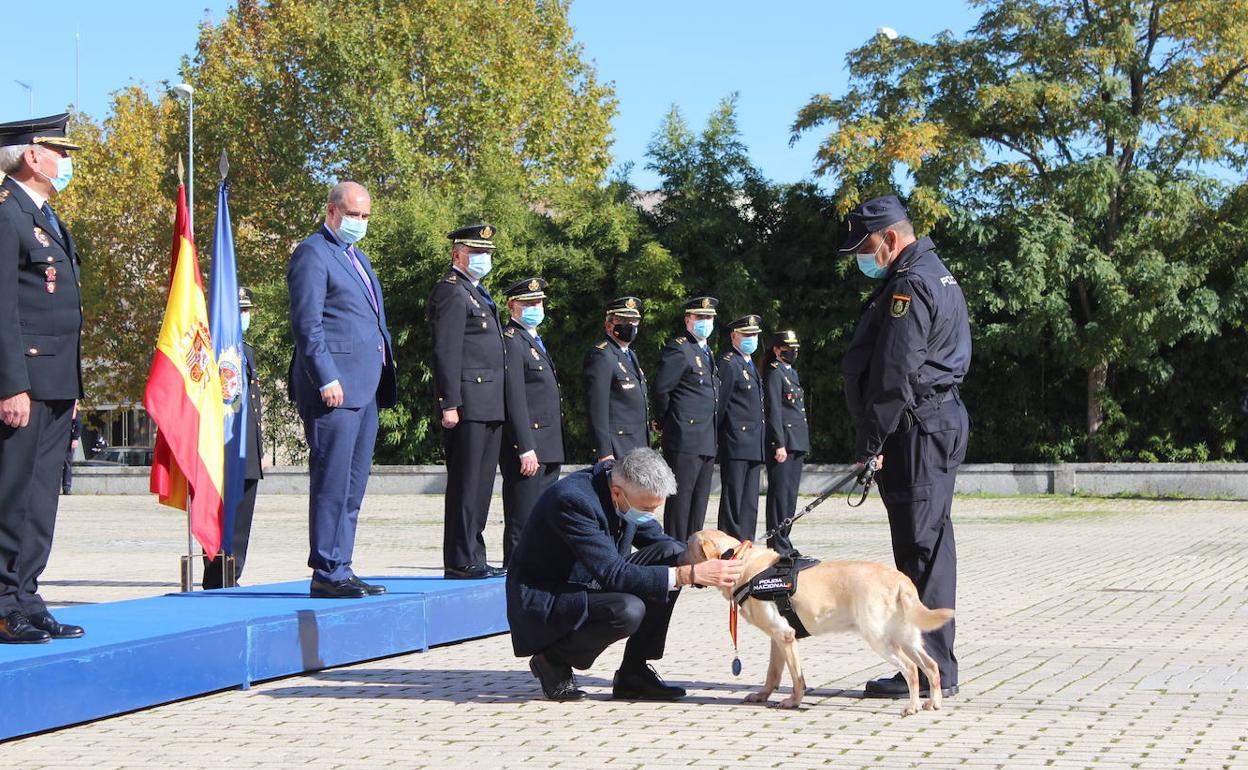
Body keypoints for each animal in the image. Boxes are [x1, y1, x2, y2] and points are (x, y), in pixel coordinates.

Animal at [688, 529, 948, 713]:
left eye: (688, 547)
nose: (678, 558)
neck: (742, 564)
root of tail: (900, 579)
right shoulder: (778, 637)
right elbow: (773, 673)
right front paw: (762, 696)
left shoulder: (785, 635)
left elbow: (797, 678)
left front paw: (793, 701)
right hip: (907, 638)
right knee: (932, 666)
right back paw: (933, 702)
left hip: (880, 638)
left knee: (912, 669)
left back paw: (912, 706)